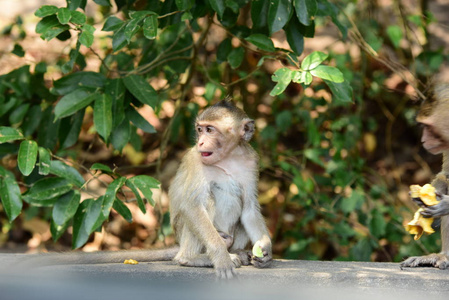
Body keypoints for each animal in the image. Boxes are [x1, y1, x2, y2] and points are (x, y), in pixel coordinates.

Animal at [169, 98, 272, 278]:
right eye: (200, 129)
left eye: (210, 130)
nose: (200, 142)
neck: (228, 157)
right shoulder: (196, 160)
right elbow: (192, 206)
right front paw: (222, 258)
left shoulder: (252, 161)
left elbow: (249, 209)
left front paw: (266, 248)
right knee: (205, 201)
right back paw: (191, 258)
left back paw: (238, 251)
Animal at [400, 84, 449, 270]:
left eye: (428, 127)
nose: (423, 140)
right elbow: (445, 175)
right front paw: (426, 197)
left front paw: (445, 204)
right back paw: (443, 256)